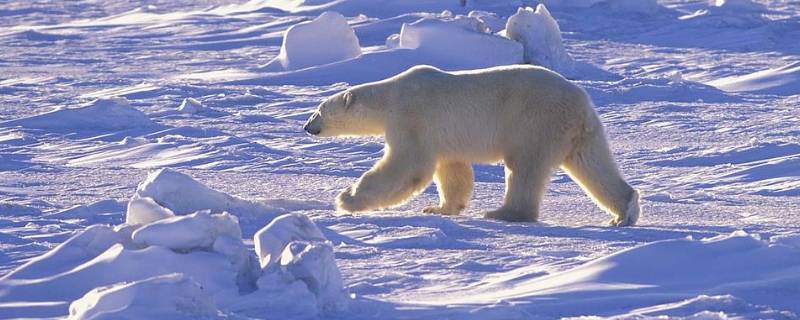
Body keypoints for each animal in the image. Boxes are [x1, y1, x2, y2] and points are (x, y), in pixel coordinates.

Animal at [304, 64, 640, 225]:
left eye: (318, 110)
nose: (307, 127)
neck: (390, 96)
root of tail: (581, 104)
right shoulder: (442, 137)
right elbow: (453, 170)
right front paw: (439, 208)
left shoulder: (411, 117)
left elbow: (407, 166)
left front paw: (346, 199)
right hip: (582, 133)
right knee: (593, 165)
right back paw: (624, 212)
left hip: (535, 122)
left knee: (524, 168)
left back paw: (503, 213)